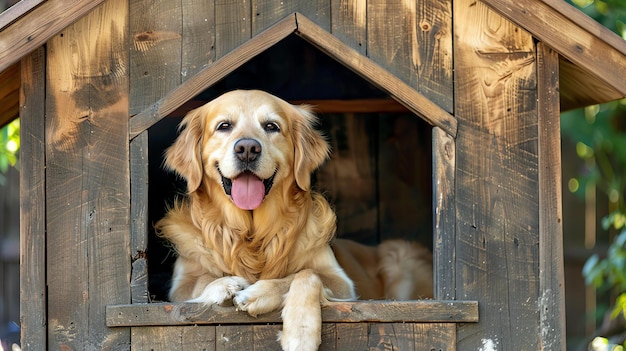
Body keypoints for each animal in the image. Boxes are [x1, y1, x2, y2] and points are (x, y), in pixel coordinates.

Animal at [154, 89, 354, 350]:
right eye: (224, 126)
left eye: (271, 126)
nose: (247, 148)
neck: (251, 233)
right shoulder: (180, 285)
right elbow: (204, 279)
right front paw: (225, 284)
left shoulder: (343, 283)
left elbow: (307, 273)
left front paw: (299, 329)